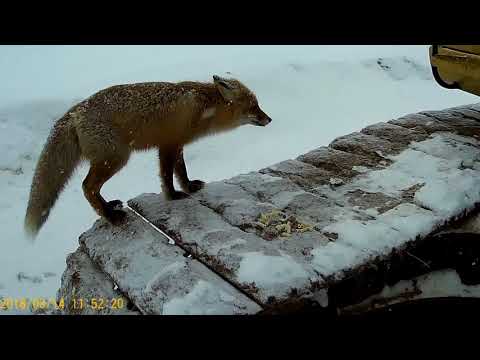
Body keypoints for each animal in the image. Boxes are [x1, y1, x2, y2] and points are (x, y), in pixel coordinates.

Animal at [25, 75, 270, 238]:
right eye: (254, 106)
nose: (269, 119)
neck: (202, 108)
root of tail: (75, 111)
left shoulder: (177, 145)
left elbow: (181, 172)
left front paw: (189, 187)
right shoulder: (168, 145)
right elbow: (167, 176)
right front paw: (173, 196)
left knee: (91, 187)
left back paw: (109, 207)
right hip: (116, 158)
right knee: (87, 186)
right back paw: (110, 216)